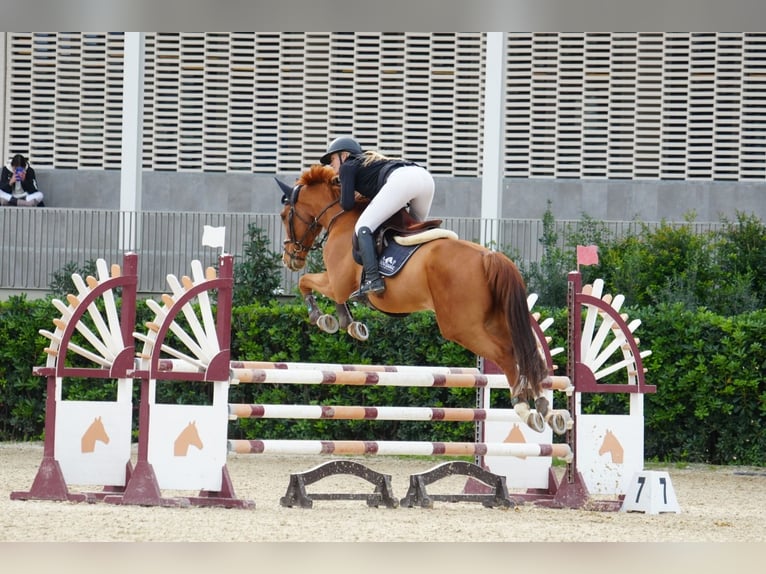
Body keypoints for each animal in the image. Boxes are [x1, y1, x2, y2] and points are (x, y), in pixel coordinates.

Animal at [277, 164, 553, 432]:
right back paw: (544, 406)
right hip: (494, 321)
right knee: (527, 353)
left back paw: (523, 406)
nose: (290, 259)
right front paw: (350, 324)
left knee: (506, 353)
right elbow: (324, 293)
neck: (340, 218)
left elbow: (305, 283)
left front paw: (321, 318)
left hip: (462, 327)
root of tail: (489, 257)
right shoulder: (338, 285)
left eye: (284, 215)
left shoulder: (336, 283)